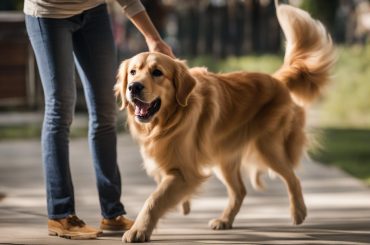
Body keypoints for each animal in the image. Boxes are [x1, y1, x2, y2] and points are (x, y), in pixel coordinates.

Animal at [115, 1, 336, 243]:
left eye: (157, 72)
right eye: (133, 72)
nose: (134, 87)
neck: (167, 121)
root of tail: (277, 79)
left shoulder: (184, 172)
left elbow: (154, 199)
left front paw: (139, 230)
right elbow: (163, 194)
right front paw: (183, 205)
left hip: (267, 147)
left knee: (292, 178)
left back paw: (298, 212)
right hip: (223, 157)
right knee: (240, 191)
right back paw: (225, 220)